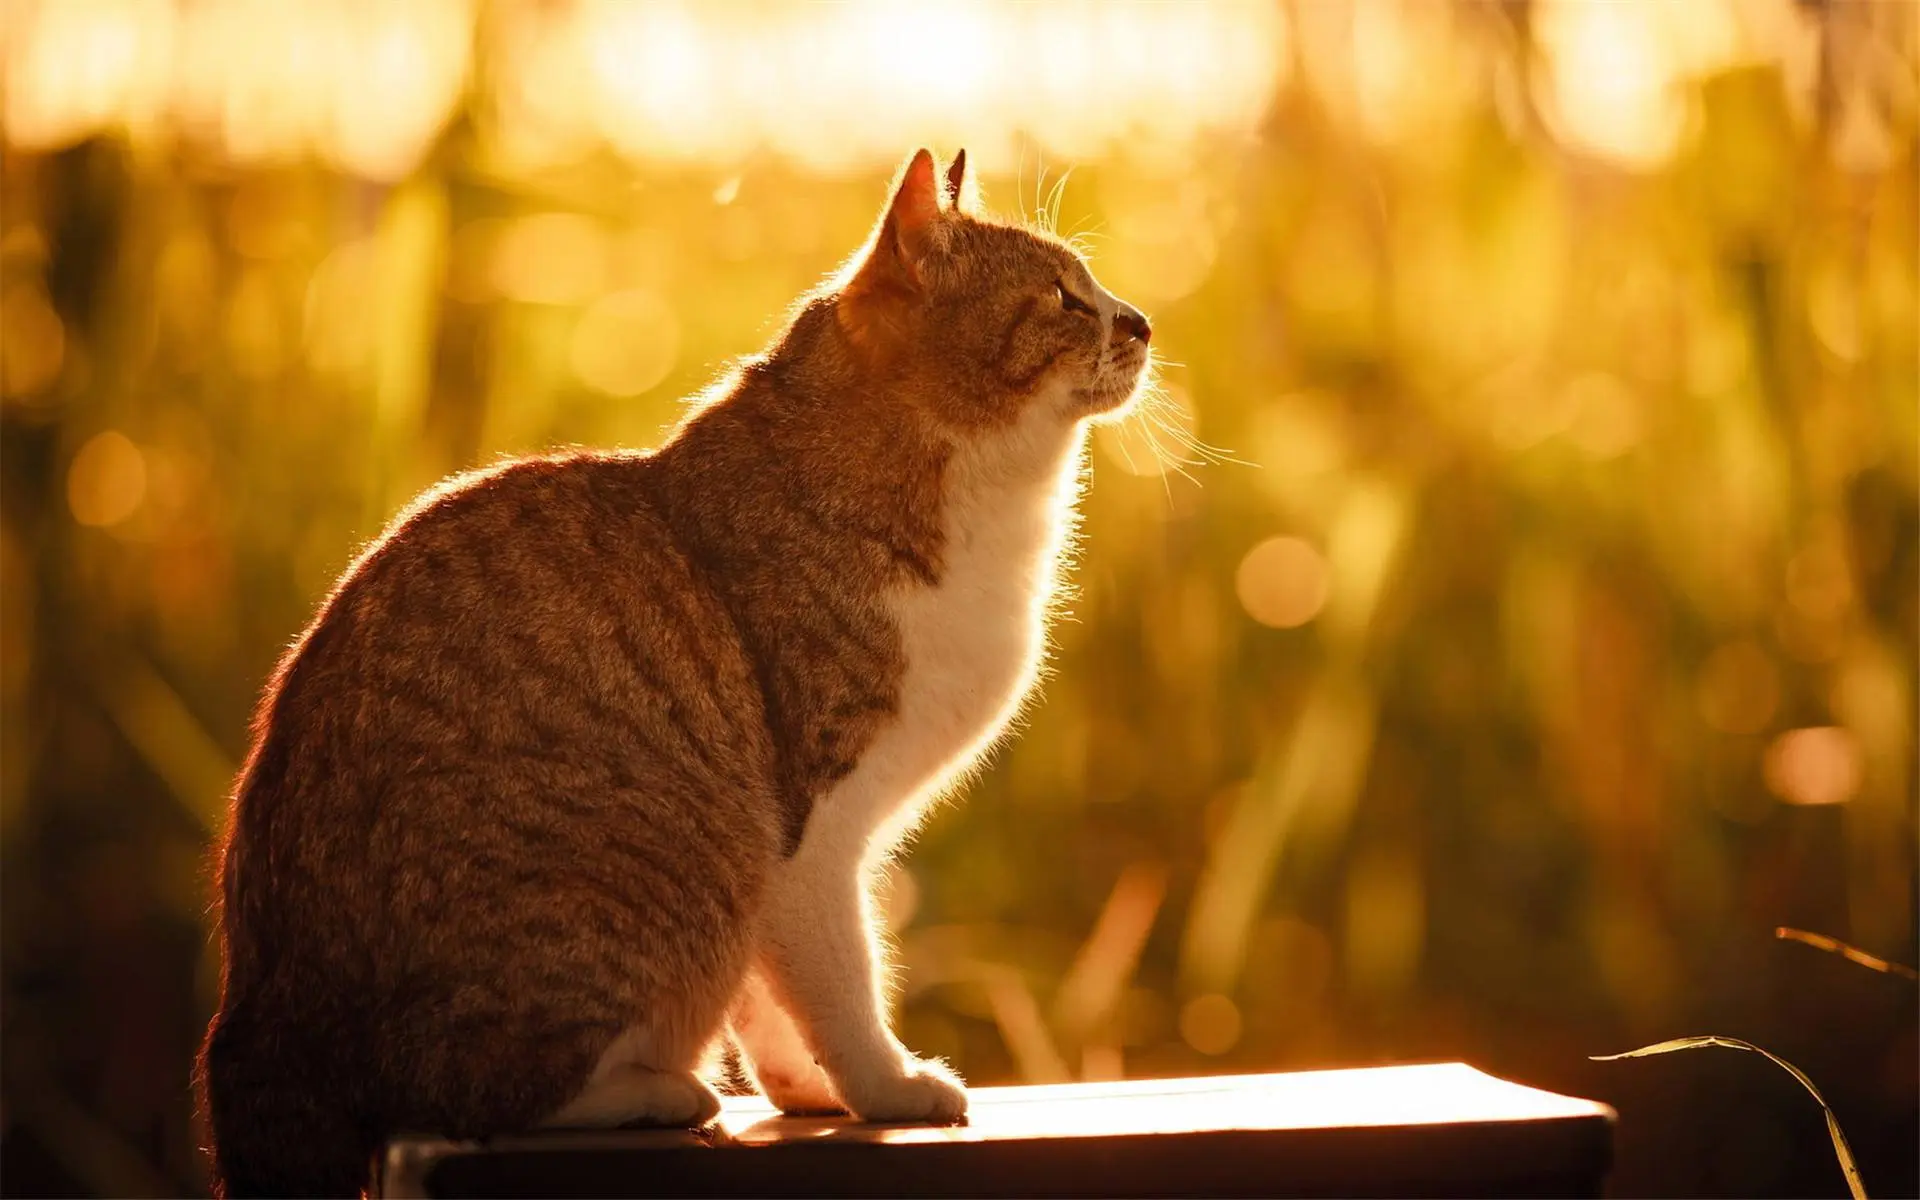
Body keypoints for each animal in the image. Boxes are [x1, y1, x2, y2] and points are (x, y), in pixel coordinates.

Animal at [196, 151, 1152, 1198]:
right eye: (1062, 297)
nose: (1143, 322)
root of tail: (257, 1027)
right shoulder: (804, 833)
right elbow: (840, 979)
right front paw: (885, 1088)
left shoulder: (792, 869)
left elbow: (775, 997)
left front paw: (808, 1089)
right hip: (645, 886)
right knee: (469, 1090)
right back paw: (658, 1091)